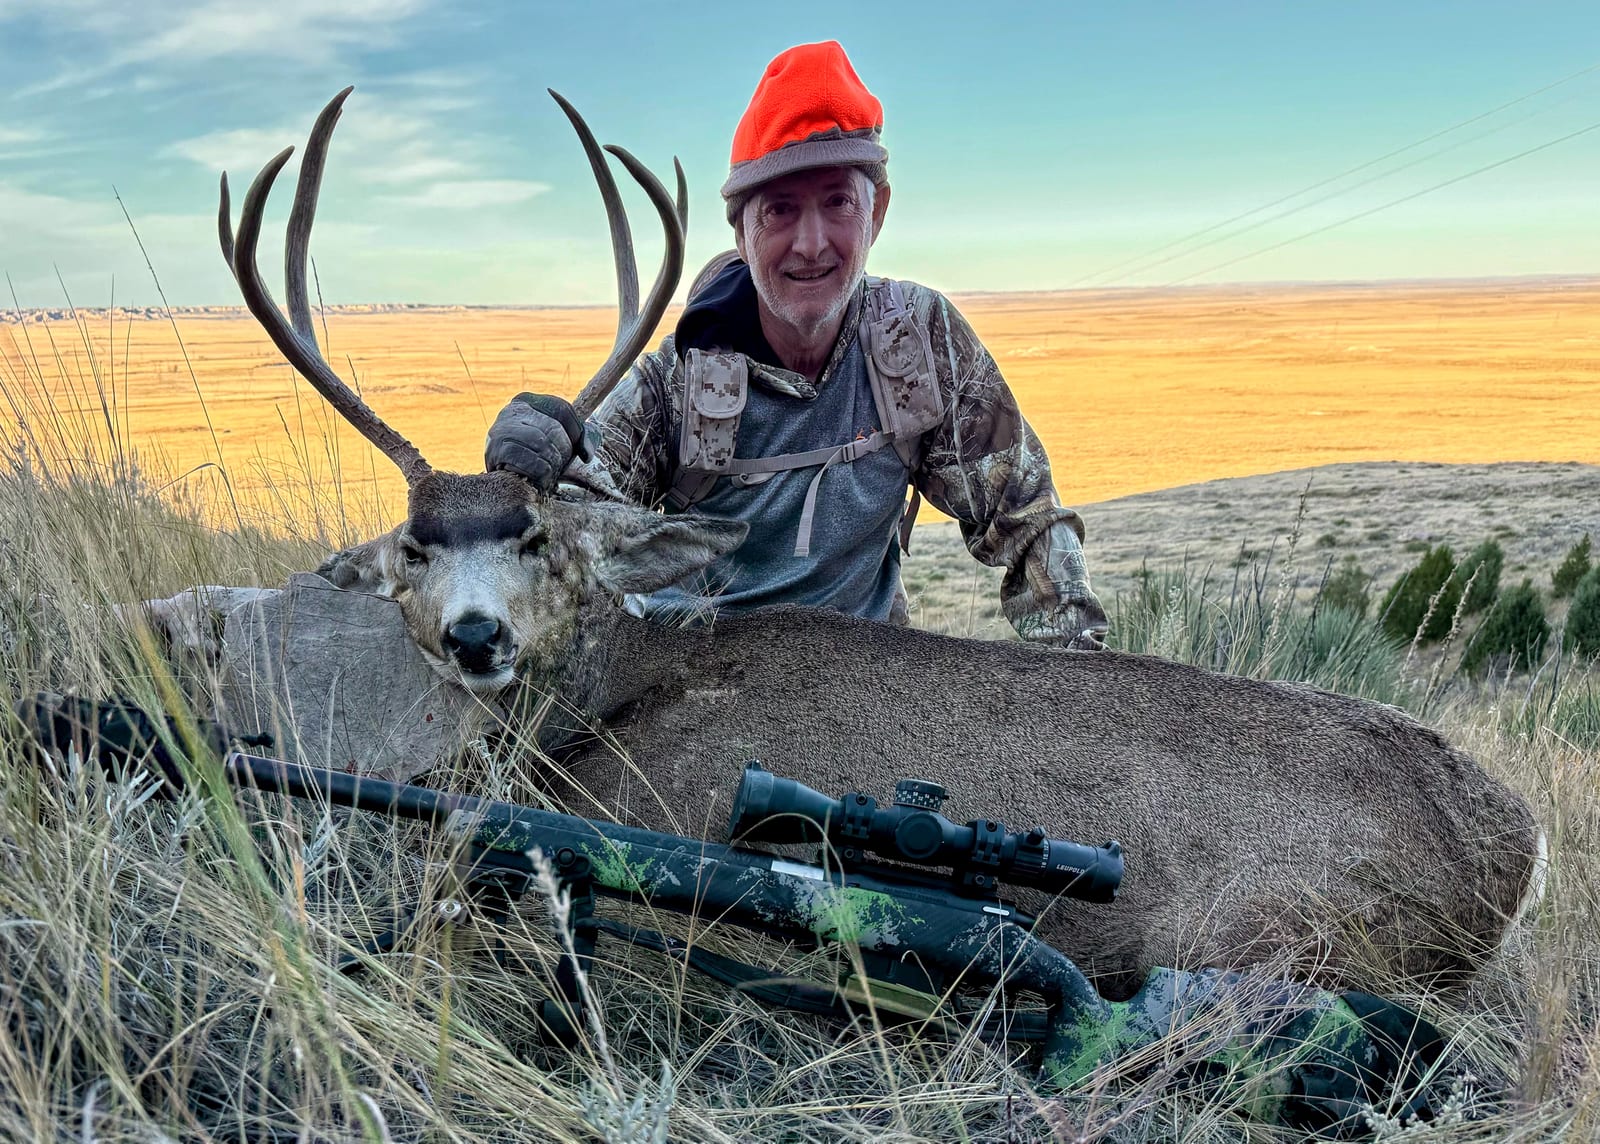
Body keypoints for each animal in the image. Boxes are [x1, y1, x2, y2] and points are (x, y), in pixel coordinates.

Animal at [213, 88, 1542, 1002]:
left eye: (539, 536)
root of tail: (1514, 845)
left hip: (1286, 938)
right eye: (413, 547)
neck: (609, 699)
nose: (475, 635)